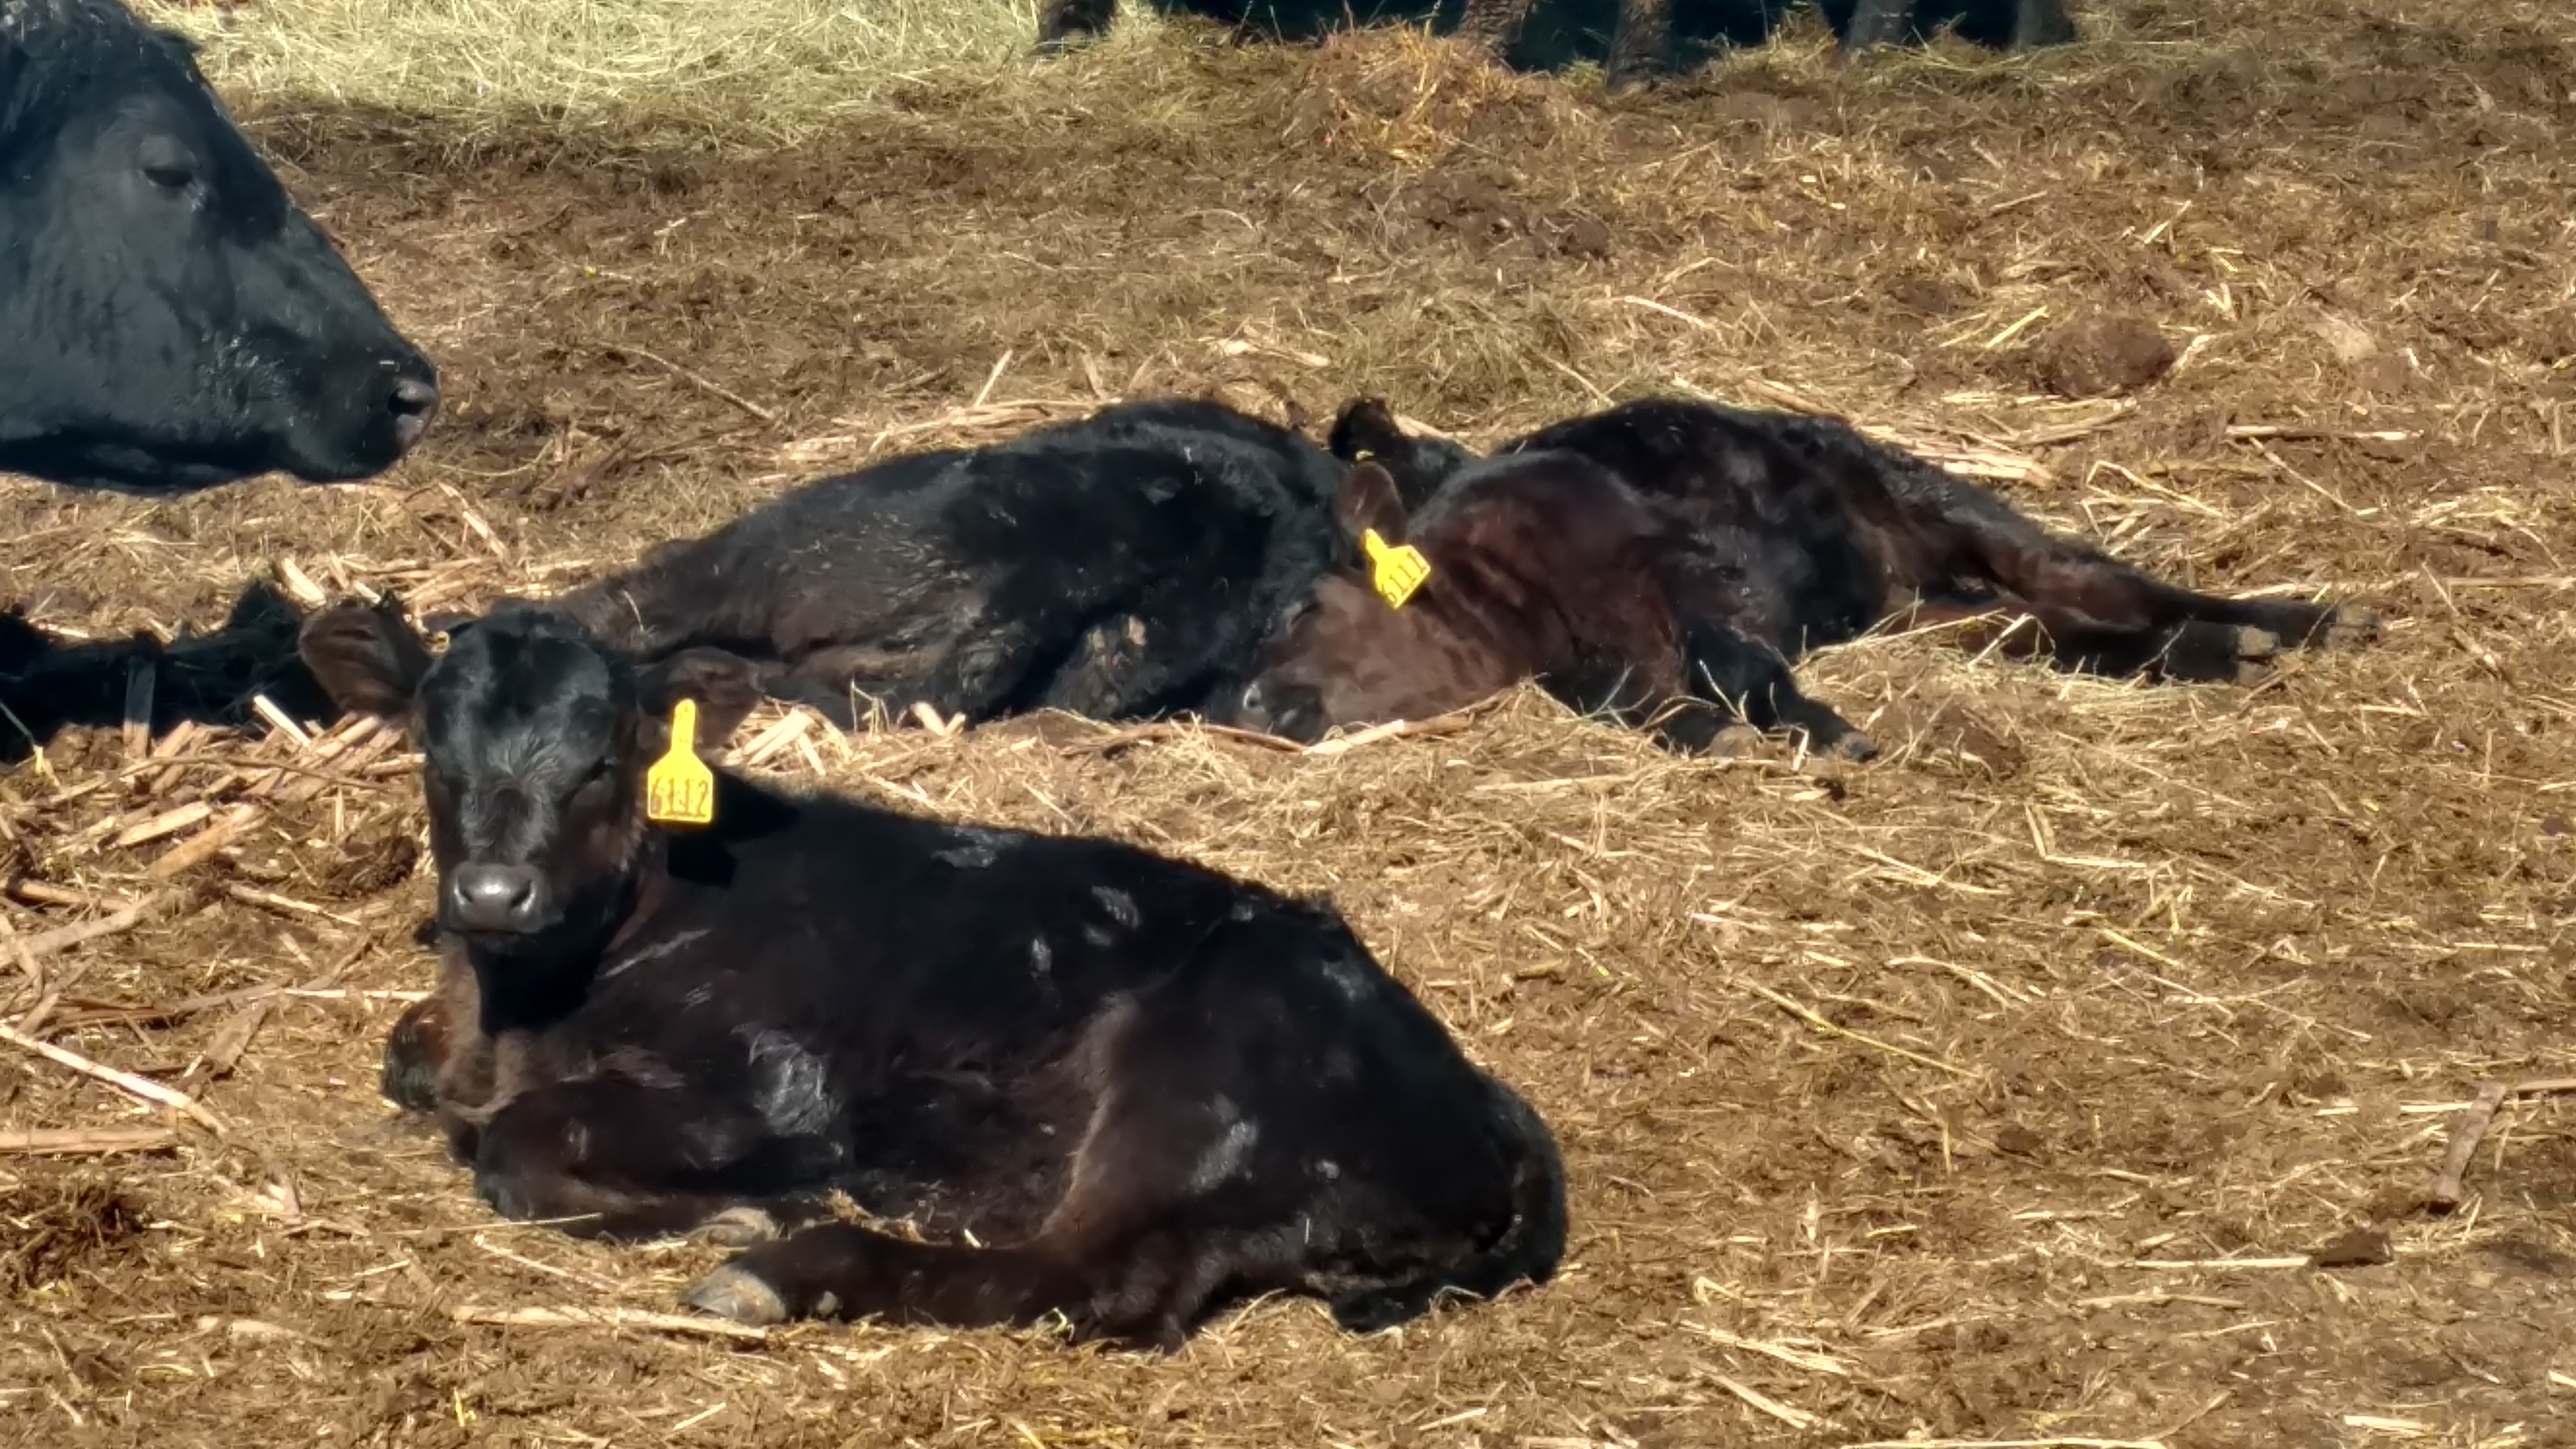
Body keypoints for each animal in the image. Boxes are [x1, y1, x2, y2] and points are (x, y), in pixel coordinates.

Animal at [296, 598, 1545, 1341]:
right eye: (430, 746)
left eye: (605, 758)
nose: (490, 894)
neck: (517, 1012)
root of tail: (1478, 1099)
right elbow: (412, 1066)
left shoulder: (764, 1087)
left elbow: (512, 1148)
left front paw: (742, 1208)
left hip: (1194, 1081)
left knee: (1086, 1279)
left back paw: (785, 1268)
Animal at [1236, 397, 2380, 758]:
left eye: (1301, 604)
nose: (1245, 702)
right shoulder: (1595, 659)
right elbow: (1639, 700)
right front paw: (1712, 738)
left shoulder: (1688, 571)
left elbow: (1737, 665)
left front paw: (1823, 734)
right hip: (1929, 609)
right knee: (2054, 626)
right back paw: (2210, 653)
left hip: (1948, 506)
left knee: (2102, 580)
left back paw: (2286, 623)